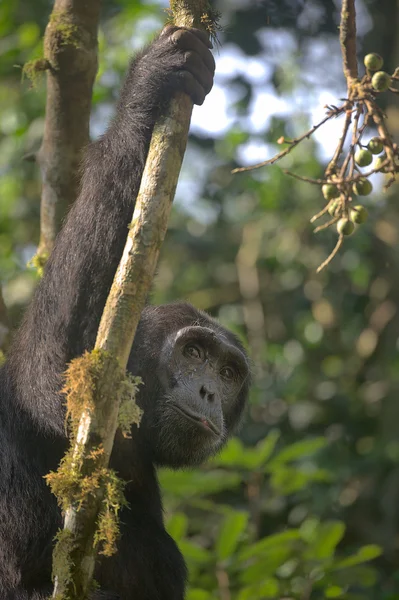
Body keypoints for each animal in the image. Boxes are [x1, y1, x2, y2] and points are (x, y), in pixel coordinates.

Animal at [0, 25, 250, 596]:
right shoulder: (54, 388)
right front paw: (149, 87)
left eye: (228, 372)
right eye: (194, 352)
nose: (208, 390)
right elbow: (53, 369)